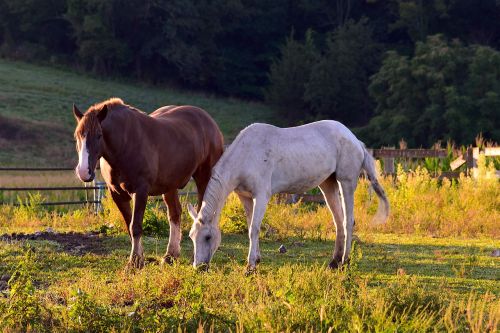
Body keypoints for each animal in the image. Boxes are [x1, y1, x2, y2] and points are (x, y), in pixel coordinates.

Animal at [72, 97, 223, 266]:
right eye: (77, 135)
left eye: (99, 135)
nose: (83, 172)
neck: (125, 144)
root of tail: (209, 122)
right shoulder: (117, 194)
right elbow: (129, 226)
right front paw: (140, 258)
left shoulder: (140, 191)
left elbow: (136, 226)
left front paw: (134, 262)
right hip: (169, 187)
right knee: (175, 214)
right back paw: (171, 255)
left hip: (204, 179)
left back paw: (194, 257)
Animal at [188, 120, 390, 272]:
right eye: (191, 236)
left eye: (207, 237)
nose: (199, 267)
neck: (246, 155)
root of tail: (355, 140)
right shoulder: (245, 197)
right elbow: (250, 225)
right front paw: (256, 259)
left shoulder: (261, 196)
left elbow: (254, 228)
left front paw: (250, 266)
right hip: (328, 184)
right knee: (338, 221)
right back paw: (334, 261)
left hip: (346, 182)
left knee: (348, 221)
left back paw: (345, 261)